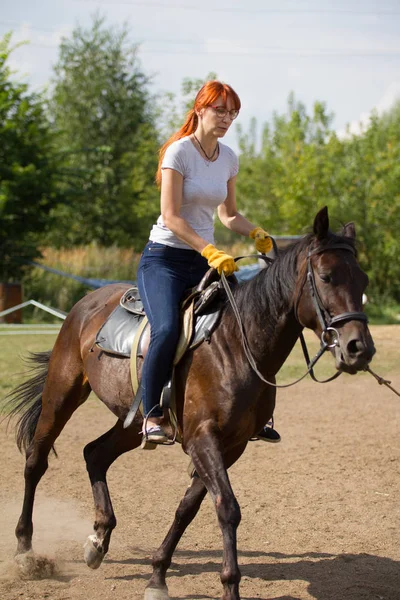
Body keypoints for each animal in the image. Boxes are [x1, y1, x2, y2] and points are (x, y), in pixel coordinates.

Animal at [3, 207, 376, 600]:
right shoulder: (202, 439)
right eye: (326, 276)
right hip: (62, 393)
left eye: (363, 279)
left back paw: (98, 540)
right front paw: (229, 585)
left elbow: (189, 507)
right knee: (36, 461)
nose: (359, 348)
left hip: (134, 421)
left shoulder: (232, 445)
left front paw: (157, 575)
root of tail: (85, 304)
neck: (236, 343)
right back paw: (26, 551)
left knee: (95, 453)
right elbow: (227, 507)